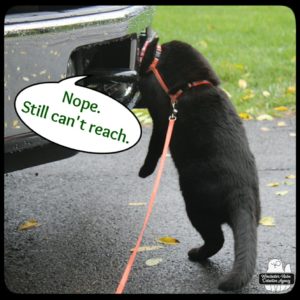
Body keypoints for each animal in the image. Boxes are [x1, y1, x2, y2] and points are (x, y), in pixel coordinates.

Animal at [138, 37, 260, 290]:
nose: (160, 43)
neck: (194, 85)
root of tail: (241, 195)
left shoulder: (162, 120)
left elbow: (154, 148)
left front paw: (144, 171)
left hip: (194, 205)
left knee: (216, 239)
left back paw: (196, 254)